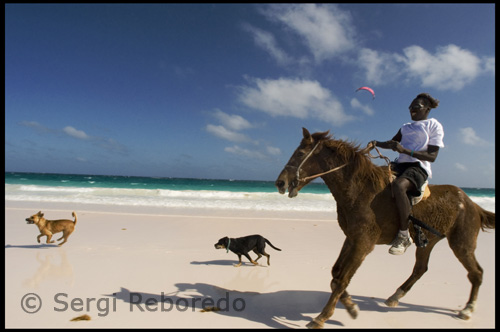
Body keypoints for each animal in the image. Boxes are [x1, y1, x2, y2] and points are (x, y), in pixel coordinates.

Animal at [276, 128, 494, 328]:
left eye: (300, 153)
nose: (280, 182)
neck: (360, 191)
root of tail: (472, 204)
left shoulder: (363, 243)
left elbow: (341, 279)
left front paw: (322, 317)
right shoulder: (352, 238)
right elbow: (336, 274)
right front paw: (351, 306)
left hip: (461, 244)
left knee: (476, 273)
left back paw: (467, 309)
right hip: (429, 241)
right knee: (420, 269)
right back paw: (395, 296)